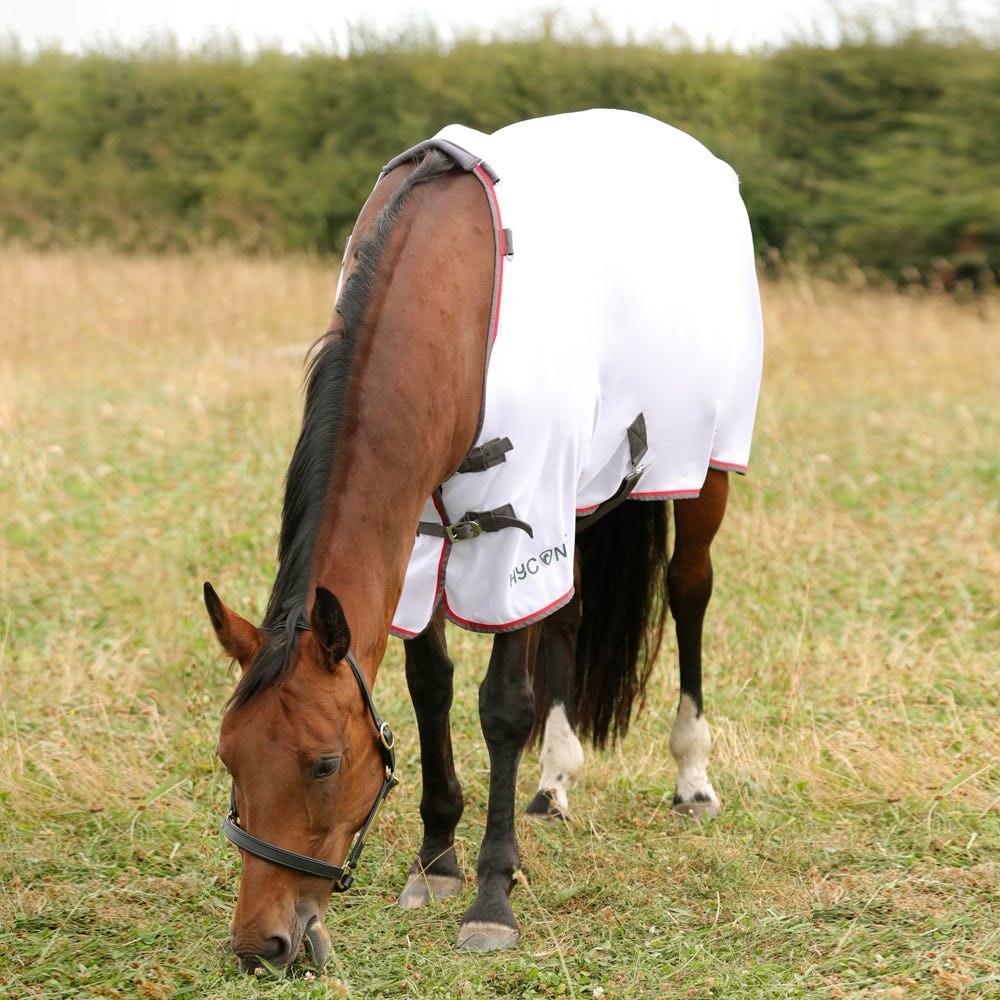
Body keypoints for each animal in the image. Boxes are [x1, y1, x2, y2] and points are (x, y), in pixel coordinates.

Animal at [203, 107, 764, 968]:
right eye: (229, 756)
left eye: (324, 764)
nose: (263, 943)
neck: (445, 301)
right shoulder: (420, 537)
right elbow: (430, 684)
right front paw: (437, 858)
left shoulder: (516, 517)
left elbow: (501, 706)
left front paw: (493, 895)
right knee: (569, 613)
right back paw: (553, 780)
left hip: (703, 470)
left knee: (689, 590)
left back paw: (692, 775)